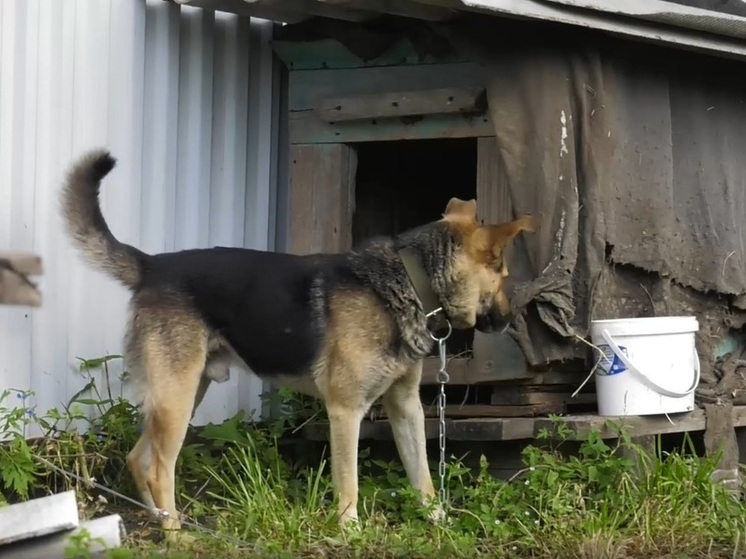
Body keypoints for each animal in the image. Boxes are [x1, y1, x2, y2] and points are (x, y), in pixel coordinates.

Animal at [58, 151, 536, 536]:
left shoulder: (406, 407)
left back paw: (161, 521)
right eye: (504, 275)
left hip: (186, 393)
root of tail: (151, 266)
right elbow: (349, 482)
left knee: (140, 458)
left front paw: (438, 520)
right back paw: (177, 535)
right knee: (159, 469)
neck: (409, 280)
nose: (514, 319)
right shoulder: (345, 411)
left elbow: (422, 475)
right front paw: (350, 531)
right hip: (178, 398)